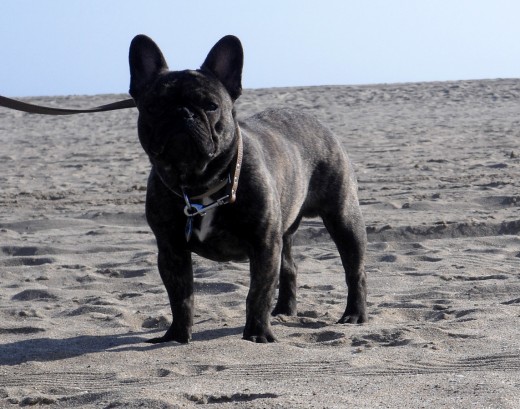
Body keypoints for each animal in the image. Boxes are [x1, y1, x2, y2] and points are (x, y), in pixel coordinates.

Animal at [128, 34, 368, 342]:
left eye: (211, 106)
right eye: (154, 107)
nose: (182, 114)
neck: (199, 183)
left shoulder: (263, 245)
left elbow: (258, 293)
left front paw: (257, 334)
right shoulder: (171, 250)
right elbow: (181, 296)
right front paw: (177, 335)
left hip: (343, 218)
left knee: (355, 271)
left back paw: (354, 315)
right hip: (286, 232)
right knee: (289, 268)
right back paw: (284, 310)